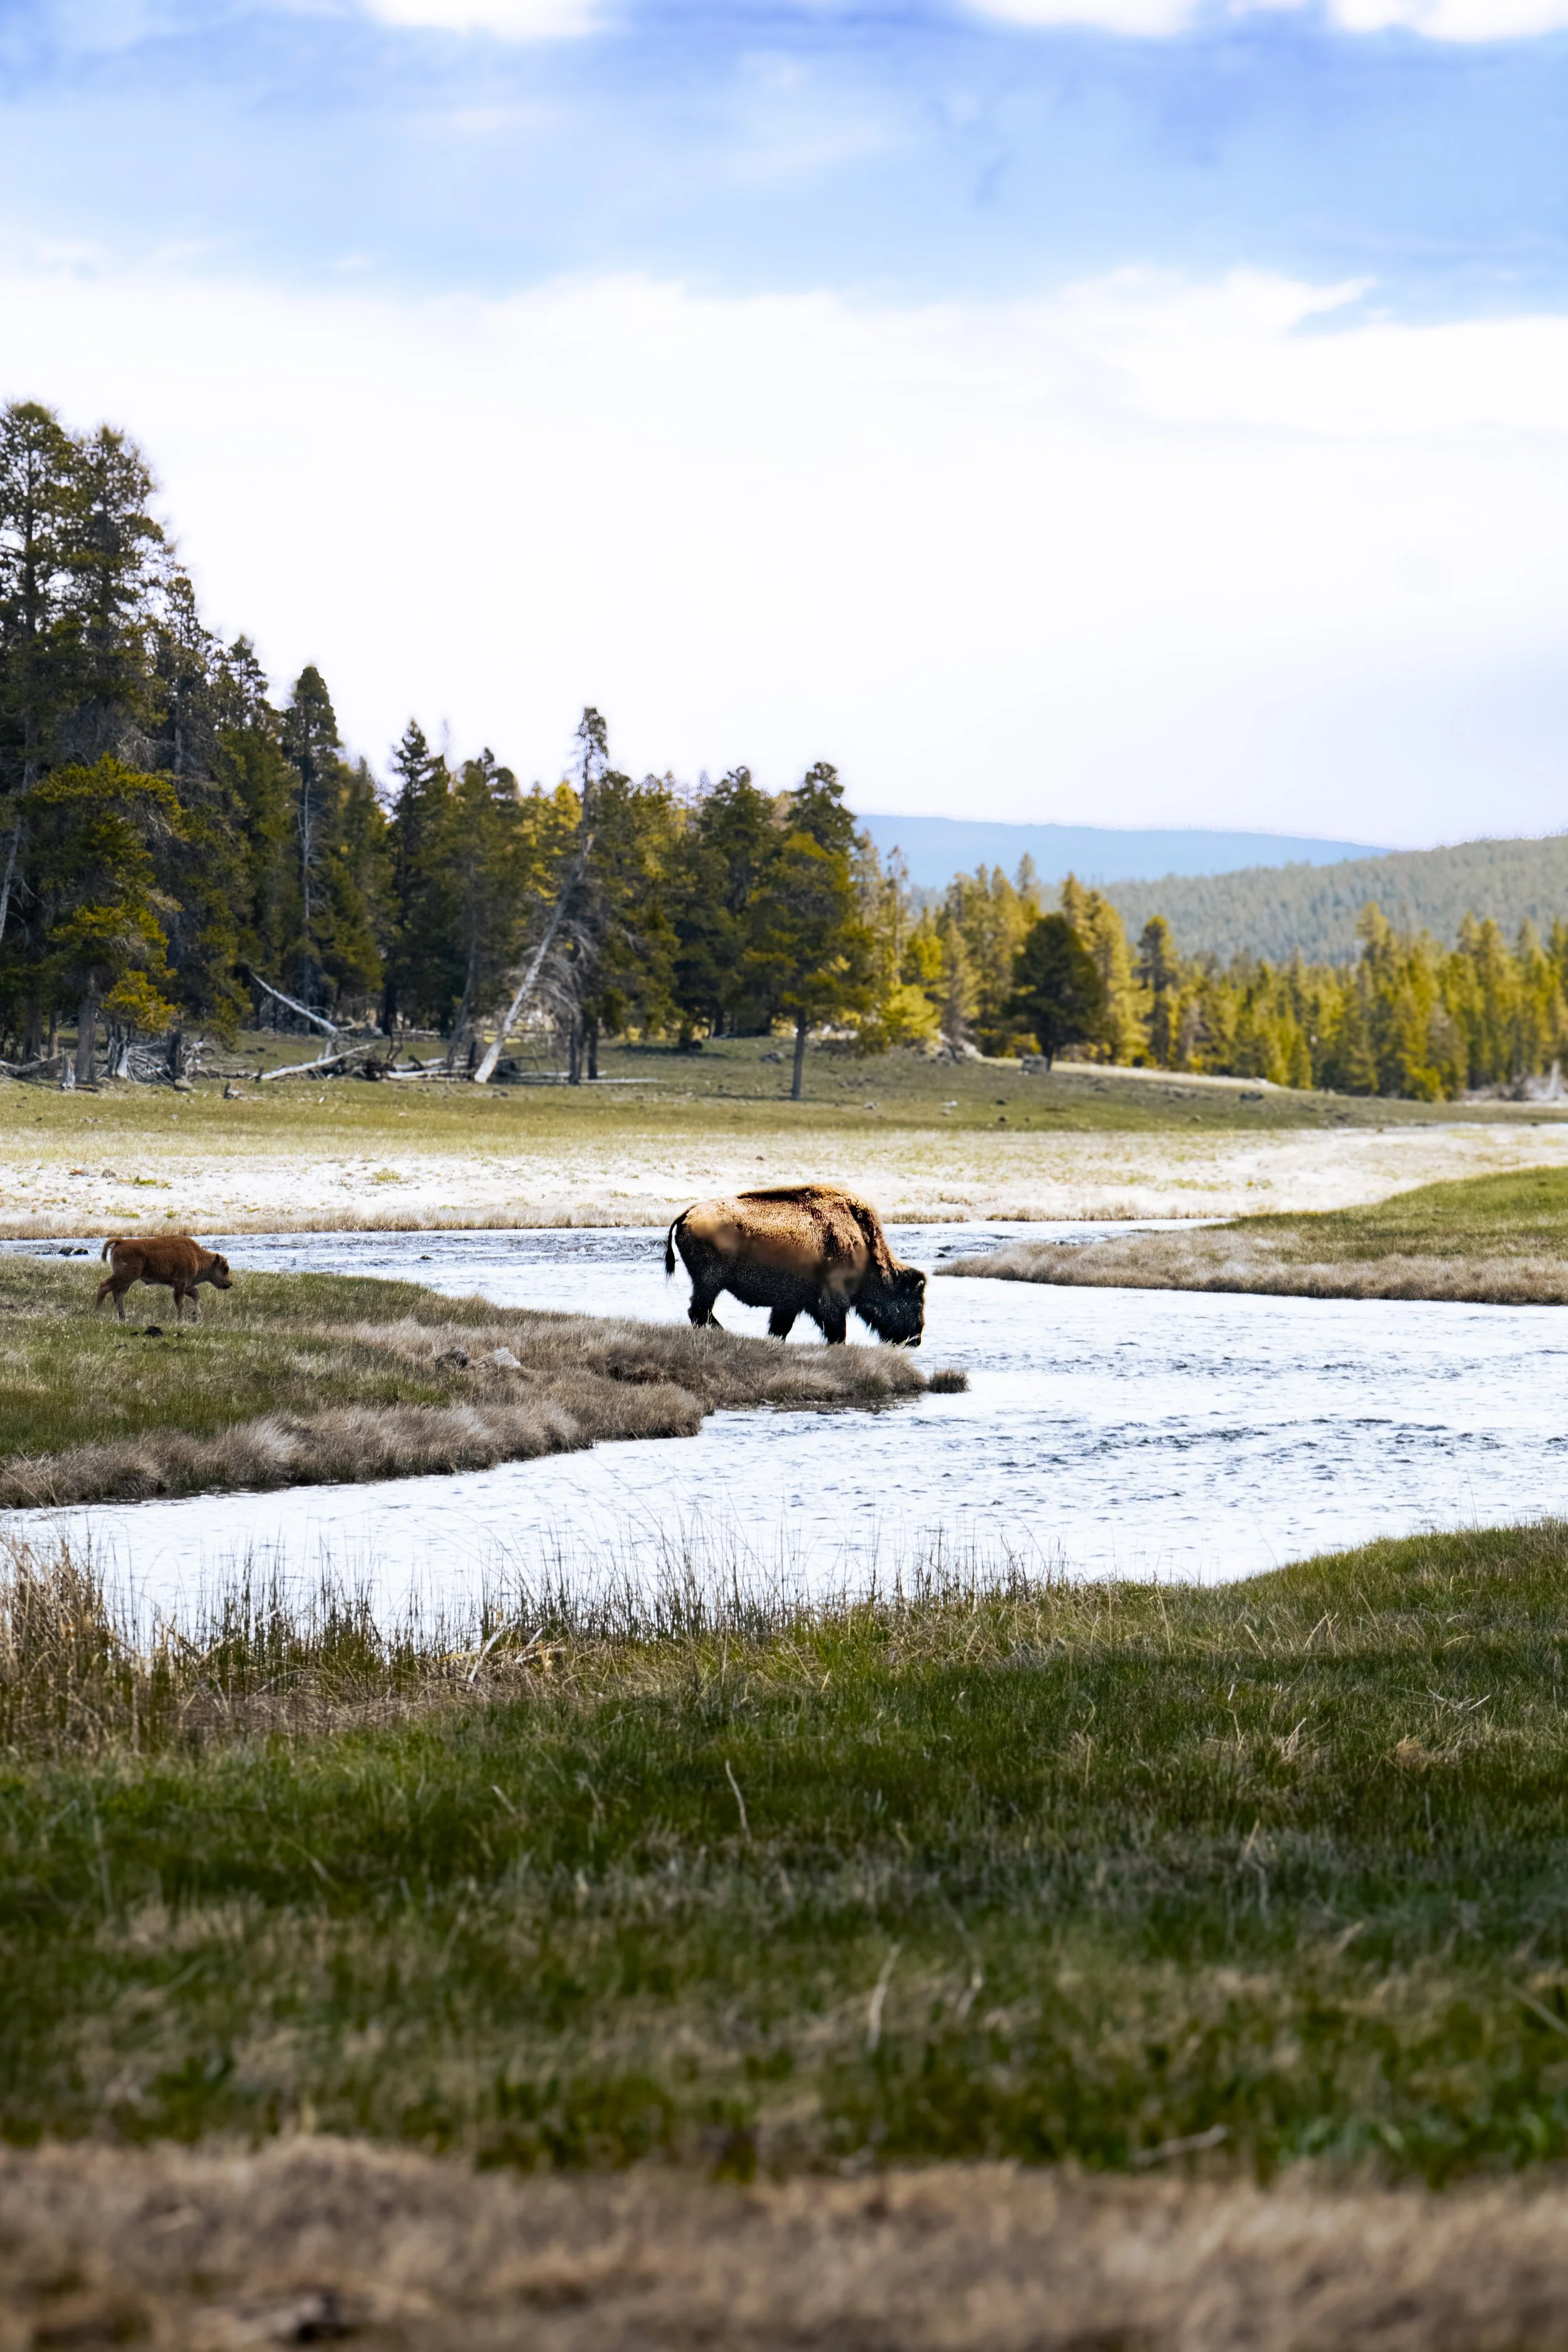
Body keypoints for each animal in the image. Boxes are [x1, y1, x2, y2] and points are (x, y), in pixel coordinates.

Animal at [665, 1183, 925, 1346]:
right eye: (916, 1302)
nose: (916, 1340)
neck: (863, 1243)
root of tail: (689, 1213)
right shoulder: (830, 1303)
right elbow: (837, 1332)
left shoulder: (789, 1304)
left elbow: (780, 1329)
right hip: (710, 1282)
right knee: (699, 1310)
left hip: (708, 1284)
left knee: (701, 1311)